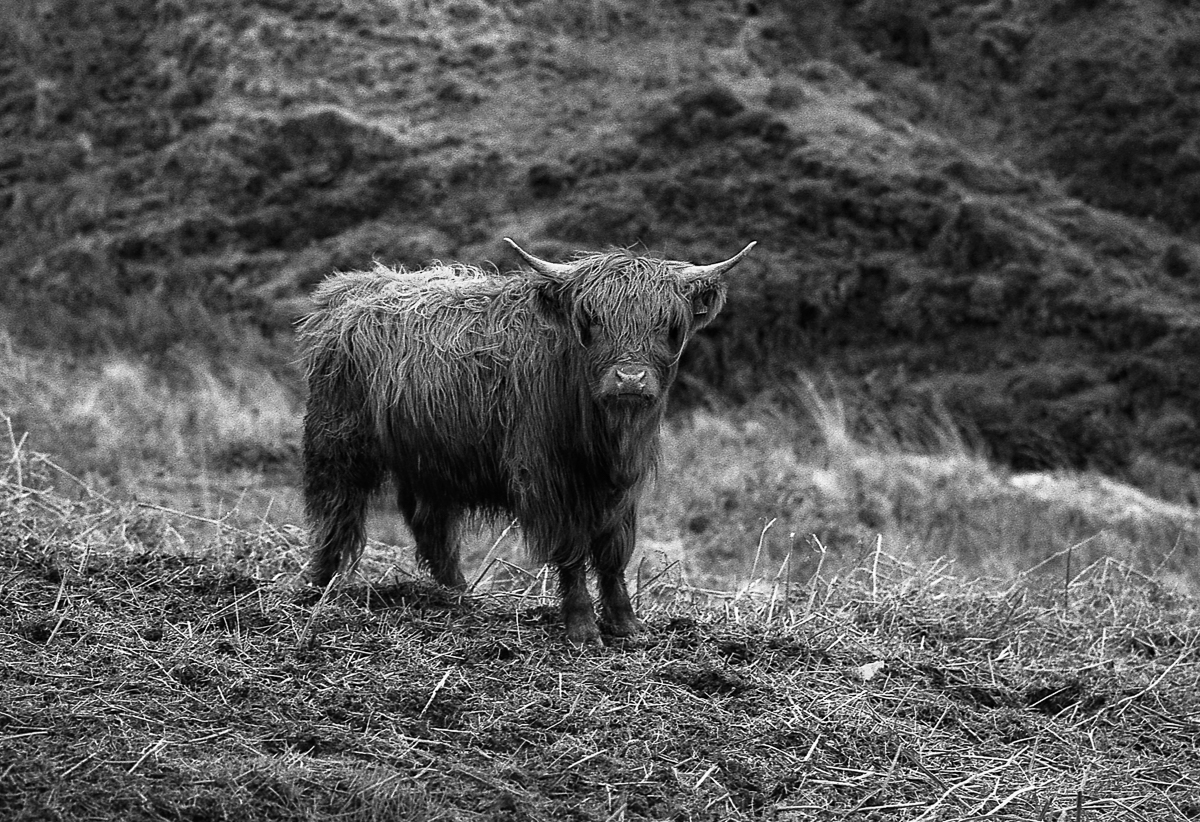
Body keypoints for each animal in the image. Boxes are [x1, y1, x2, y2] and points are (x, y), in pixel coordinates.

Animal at [296, 234, 753, 643]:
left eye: (668, 325)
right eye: (591, 321)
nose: (630, 377)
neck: (605, 440)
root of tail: (352, 288)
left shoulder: (624, 486)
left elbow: (613, 553)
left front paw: (627, 625)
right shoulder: (548, 478)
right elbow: (571, 551)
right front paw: (582, 629)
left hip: (429, 455)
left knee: (430, 522)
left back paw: (458, 595)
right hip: (337, 438)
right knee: (336, 511)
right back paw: (317, 589)